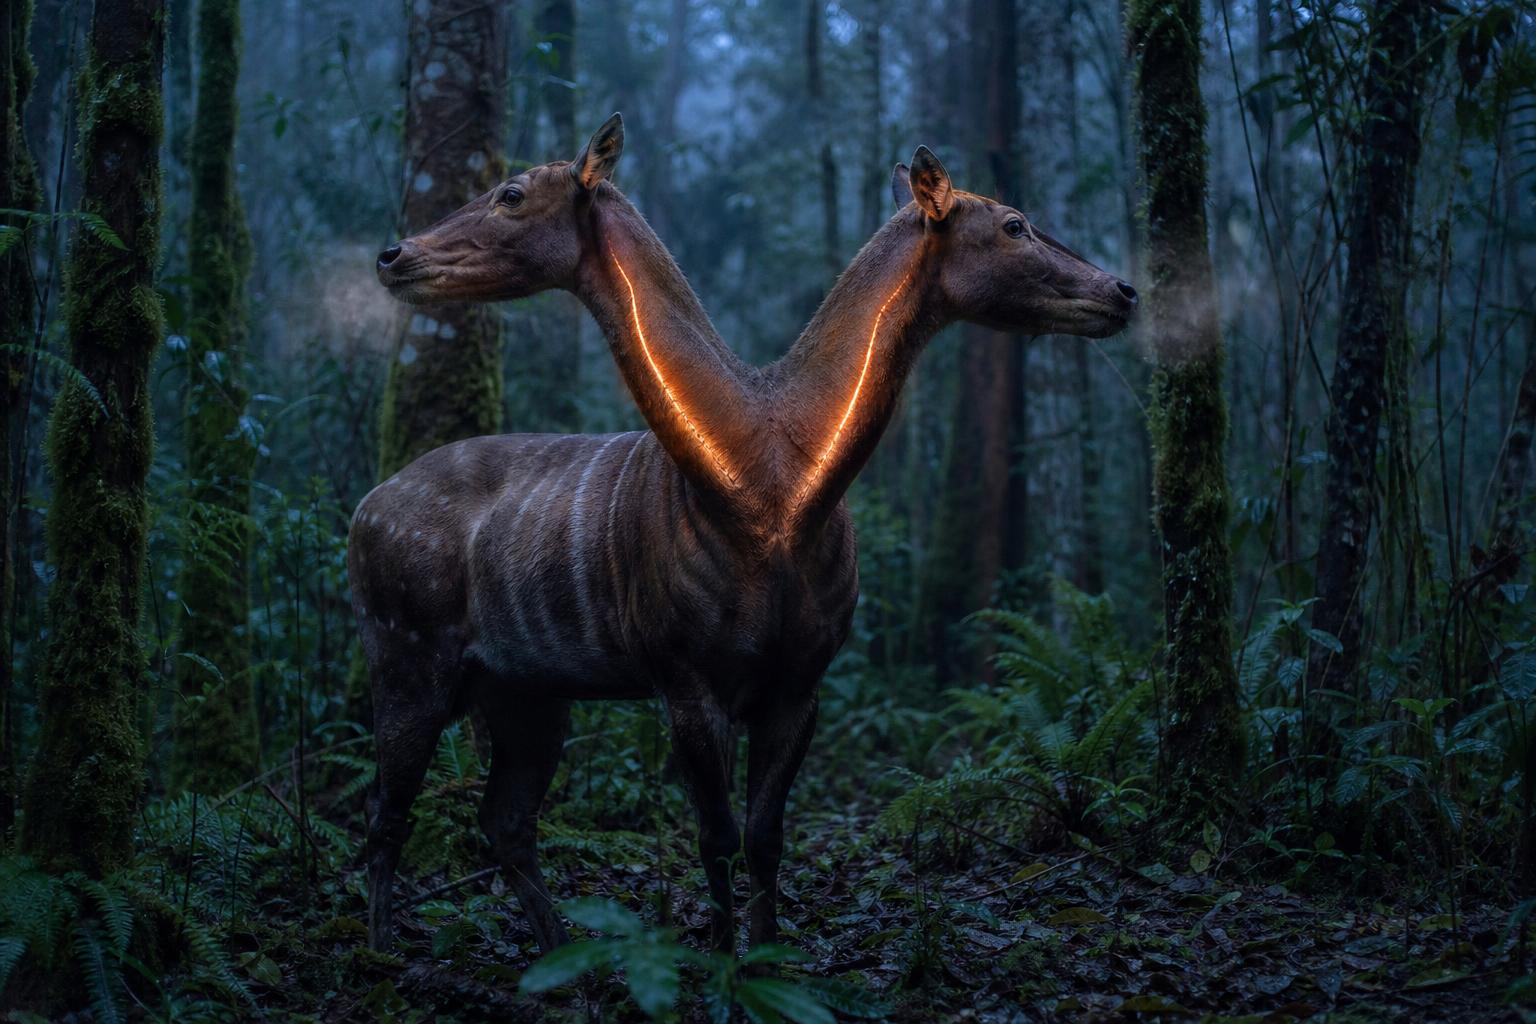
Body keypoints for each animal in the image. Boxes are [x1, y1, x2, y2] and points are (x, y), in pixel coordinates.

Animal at [355, 112, 1136, 957]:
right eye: (1015, 223)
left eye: (510, 191)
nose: (1124, 290)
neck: (773, 492)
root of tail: (363, 509)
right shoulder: (683, 668)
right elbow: (716, 838)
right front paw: (725, 960)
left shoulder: (803, 676)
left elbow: (766, 836)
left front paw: (768, 953)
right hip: (406, 649)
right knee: (387, 814)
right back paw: (382, 951)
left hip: (523, 688)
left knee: (503, 821)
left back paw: (567, 952)